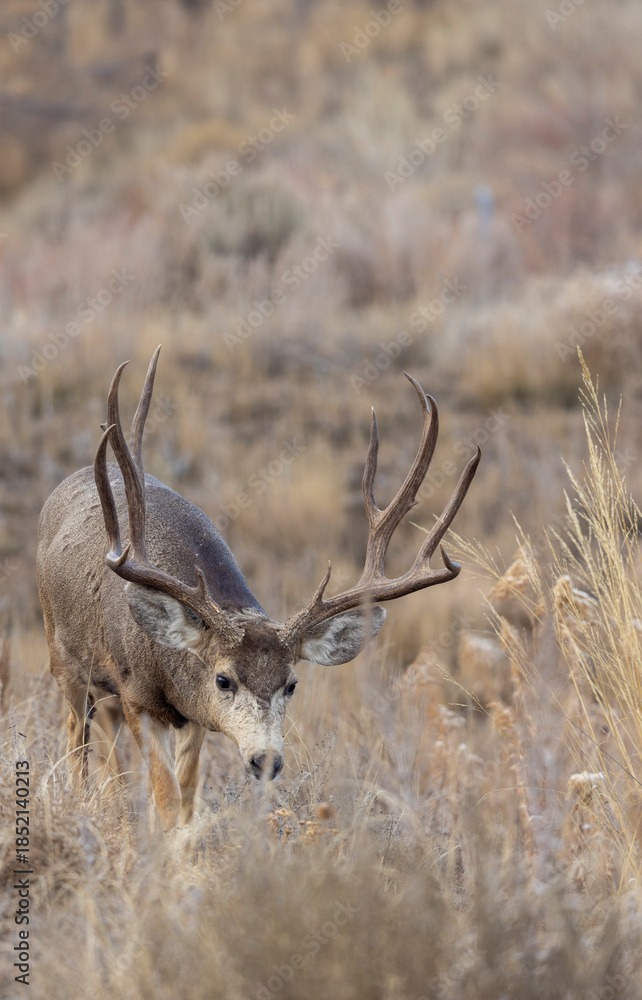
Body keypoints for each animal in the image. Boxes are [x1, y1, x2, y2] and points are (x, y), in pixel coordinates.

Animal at [36, 347, 480, 831]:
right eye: (223, 679)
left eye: (292, 685)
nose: (266, 760)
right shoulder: (137, 695)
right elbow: (167, 801)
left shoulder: (192, 716)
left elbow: (187, 798)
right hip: (64, 660)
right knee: (75, 739)